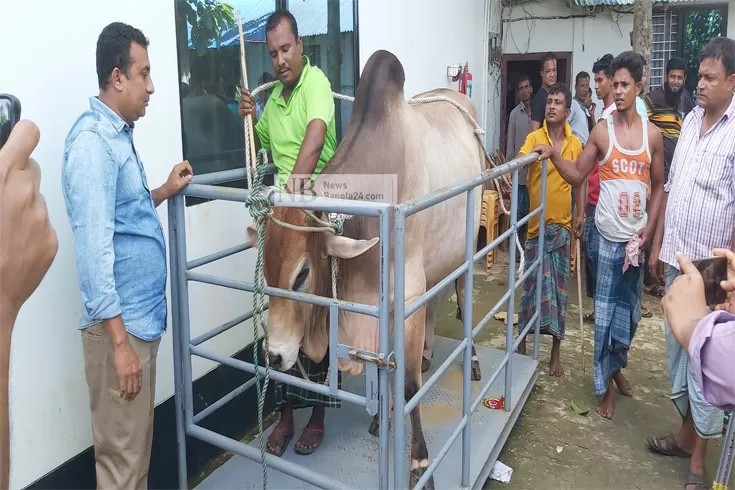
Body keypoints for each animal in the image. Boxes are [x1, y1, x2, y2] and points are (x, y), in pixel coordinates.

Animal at [247, 48, 488, 486]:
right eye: (268, 275)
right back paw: (427, 352)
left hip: (464, 244)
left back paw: (472, 360)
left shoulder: (405, 297)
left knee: (462, 294)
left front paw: (419, 462)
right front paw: (382, 420)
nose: (273, 356)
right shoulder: (383, 307)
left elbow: (408, 386)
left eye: (302, 274)